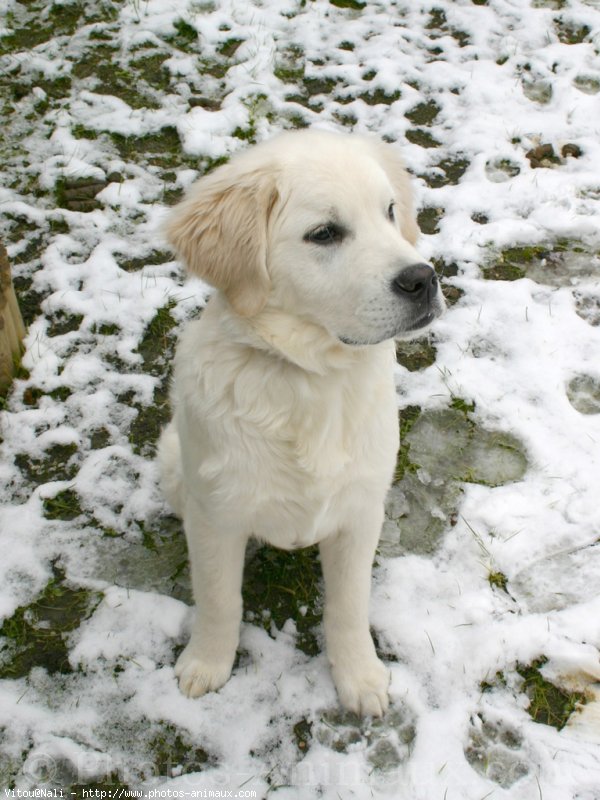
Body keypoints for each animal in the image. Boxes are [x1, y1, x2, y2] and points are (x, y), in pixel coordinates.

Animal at [157, 128, 442, 716]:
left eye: (390, 212)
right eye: (324, 233)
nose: (423, 279)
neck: (309, 379)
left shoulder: (360, 511)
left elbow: (349, 605)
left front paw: (359, 677)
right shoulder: (217, 515)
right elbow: (219, 598)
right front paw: (206, 664)